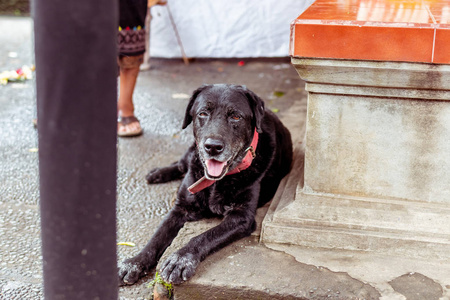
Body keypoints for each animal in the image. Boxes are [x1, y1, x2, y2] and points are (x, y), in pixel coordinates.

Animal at [118, 84, 294, 284]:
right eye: (202, 113)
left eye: (236, 116)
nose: (213, 147)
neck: (215, 181)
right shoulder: (181, 208)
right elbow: (157, 236)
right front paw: (135, 262)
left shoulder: (241, 217)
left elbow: (204, 237)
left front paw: (180, 259)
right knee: (181, 164)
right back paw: (157, 173)